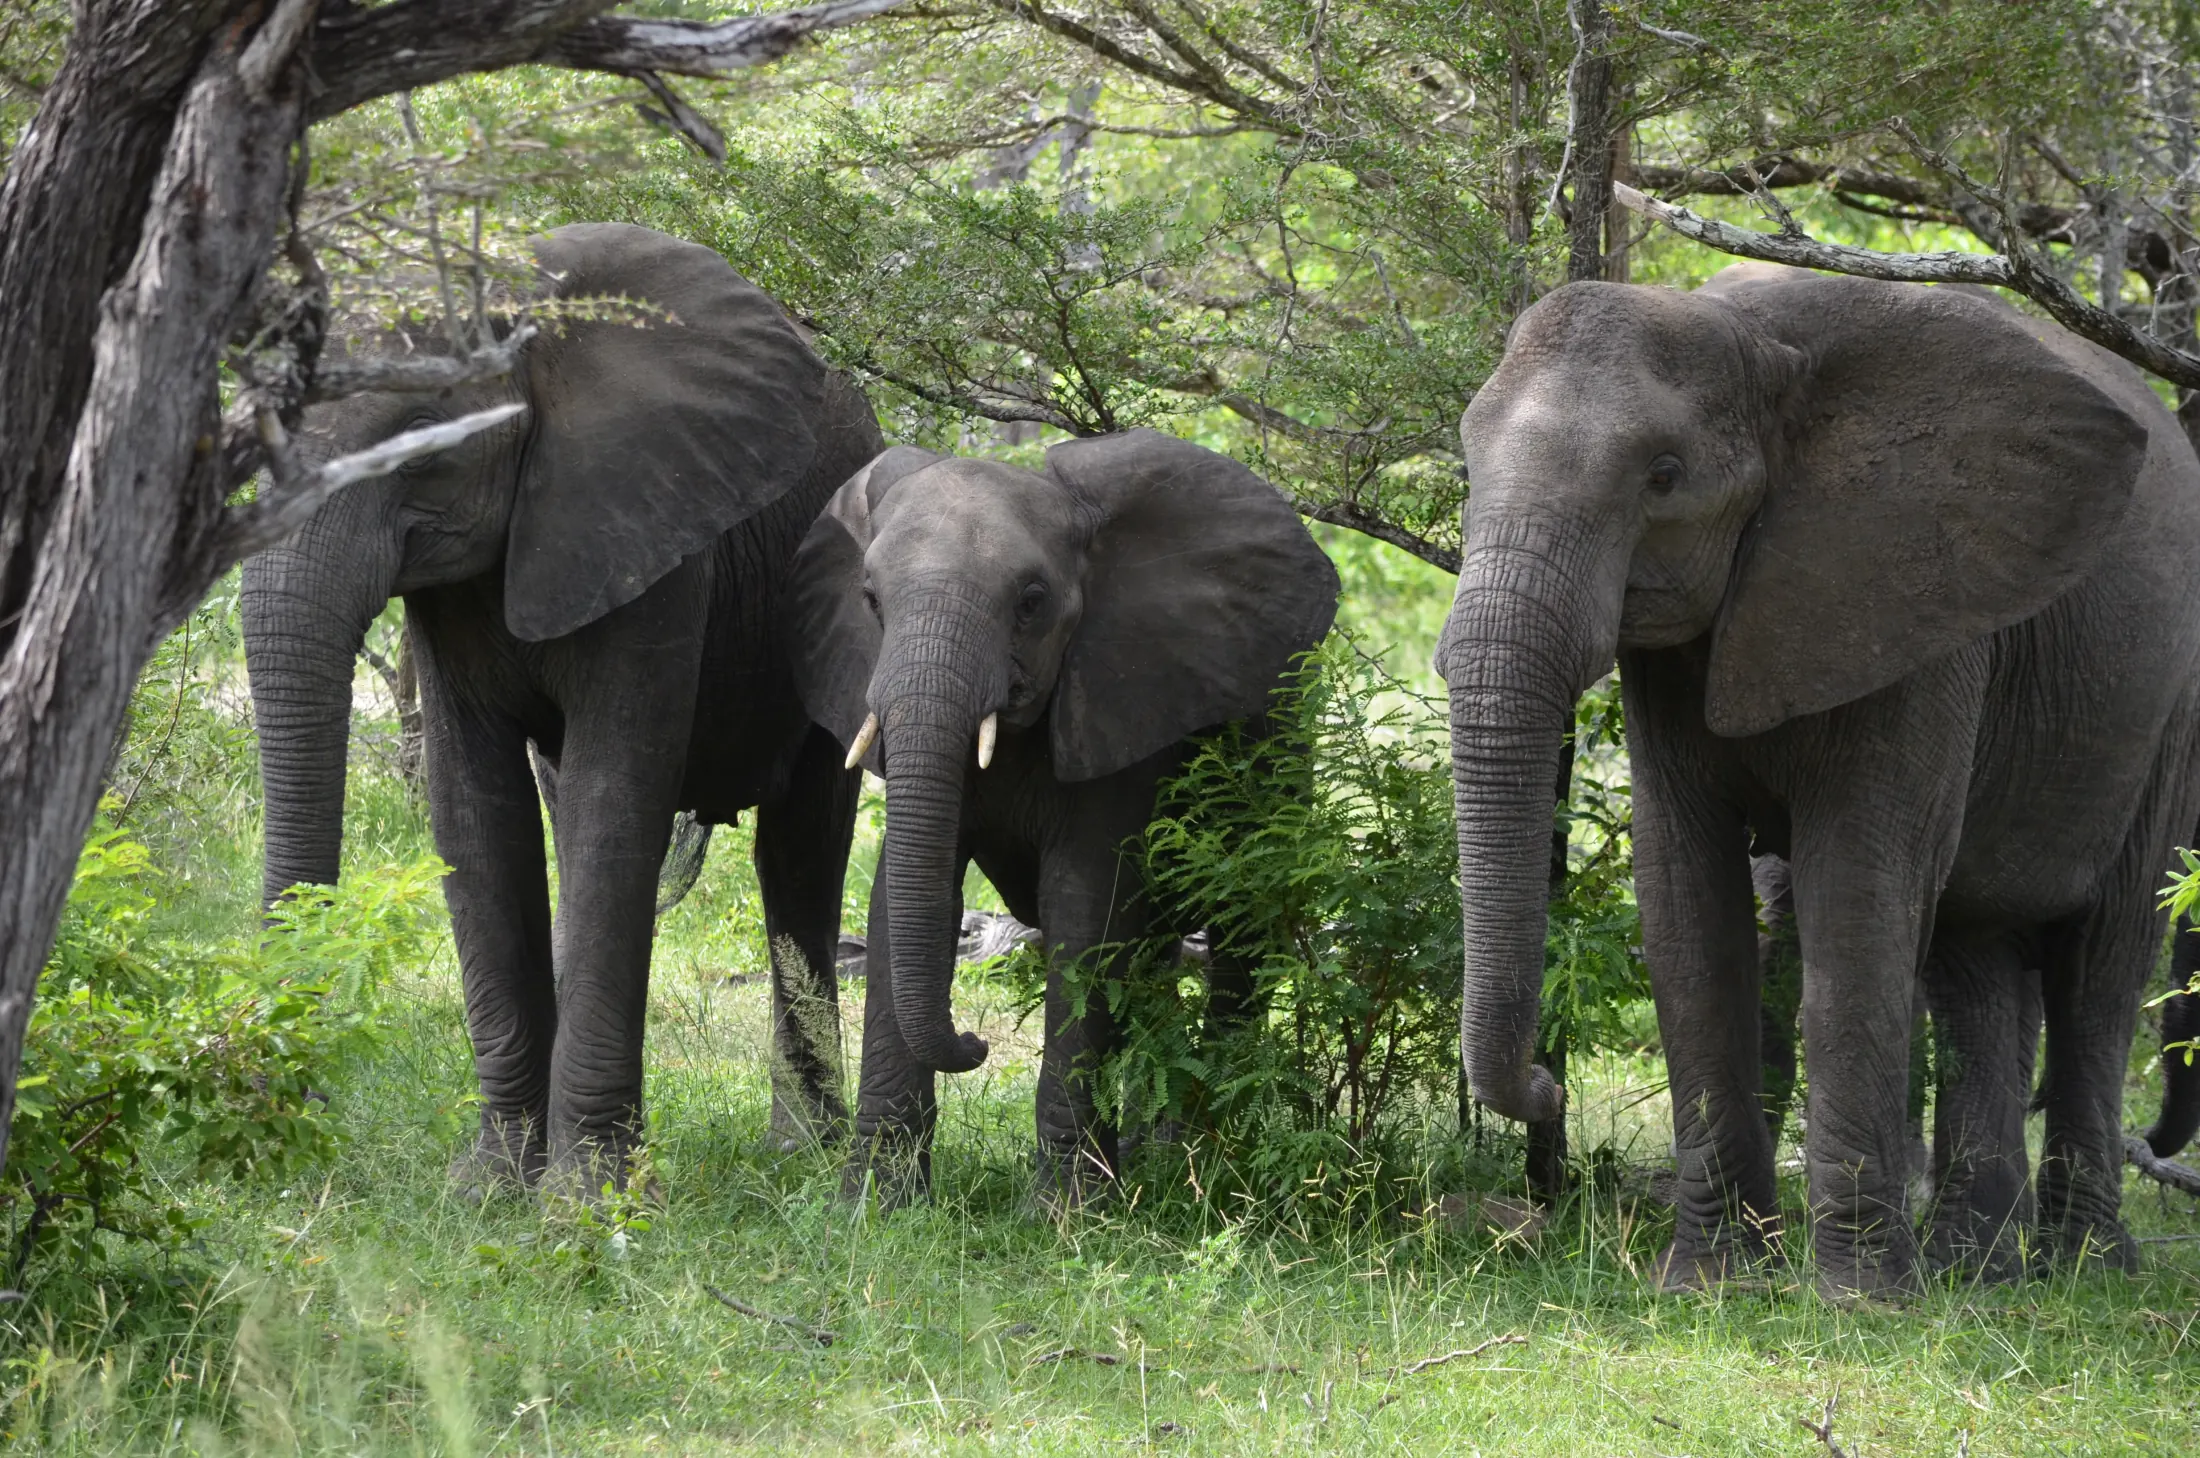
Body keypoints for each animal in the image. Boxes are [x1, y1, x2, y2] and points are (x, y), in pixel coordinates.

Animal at [242, 223, 884, 1194]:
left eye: (422, 434)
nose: (302, 1110)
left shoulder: (652, 519)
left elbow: (612, 802)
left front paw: (585, 1199)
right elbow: (476, 812)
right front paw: (491, 1188)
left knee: (799, 851)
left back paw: (801, 1156)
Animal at [786, 431, 1338, 1200]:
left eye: (1031, 602)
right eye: (870, 599)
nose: (977, 1043)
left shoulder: (1121, 699)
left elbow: (1083, 908)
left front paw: (1071, 1212)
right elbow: (904, 903)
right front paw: (876, 1203)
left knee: (1241, 942)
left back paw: (1188, 1160)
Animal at [1440, 262, 2200, 1297]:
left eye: (1663, 476)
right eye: (1466, 467)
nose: (1548, 1091)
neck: (1747, 338)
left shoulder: (1912, 592)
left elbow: (1859, 890)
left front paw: (1861, 1301)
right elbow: (1686, 901)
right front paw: (1714, 1281)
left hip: (2168, 709)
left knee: (2104, 964)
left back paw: (2081, 1271)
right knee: (1974, 955)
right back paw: (1979, 1271)